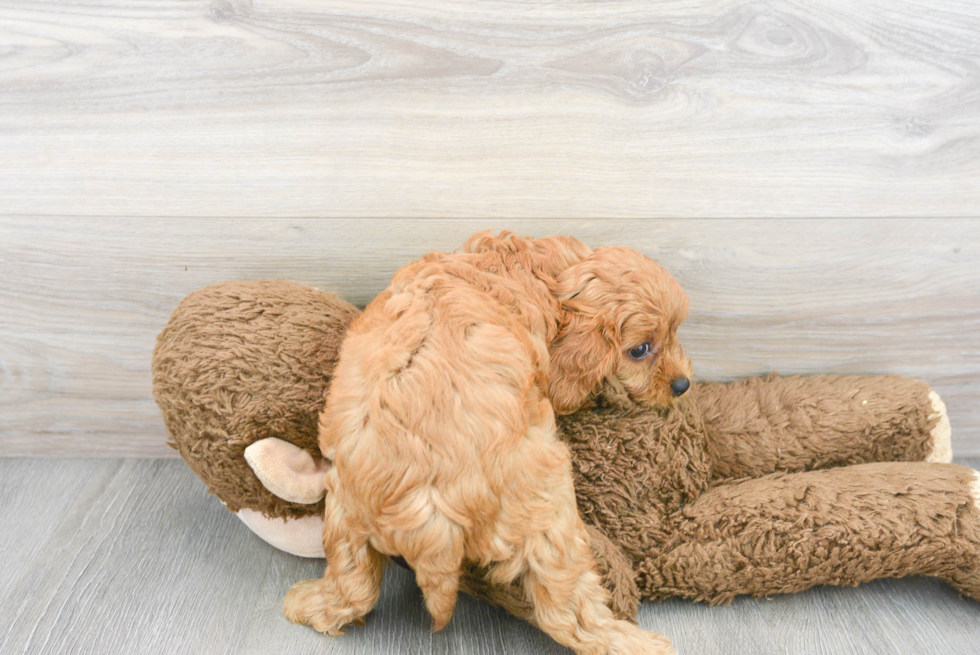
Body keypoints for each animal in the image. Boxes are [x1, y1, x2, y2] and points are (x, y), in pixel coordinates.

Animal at [284, 233, 688, 652]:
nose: (683, 384)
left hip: (344, 504)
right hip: (546, 512)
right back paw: (637, 642)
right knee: (567, 613)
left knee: (353, 582)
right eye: (640, 350)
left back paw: (312, 605)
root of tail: (431, 514)